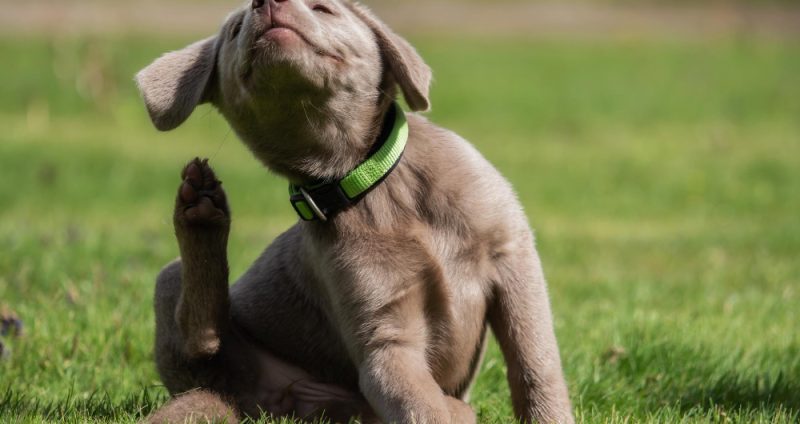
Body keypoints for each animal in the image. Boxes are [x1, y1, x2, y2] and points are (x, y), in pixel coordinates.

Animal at [136, 0, 573, 422]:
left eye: (323, 8)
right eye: (234, 29)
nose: (267, 2)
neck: (368, 178)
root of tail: (246, 401)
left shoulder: (514, 259)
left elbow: (535, 362)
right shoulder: (385, 334)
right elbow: (421, 404)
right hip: (171, 283)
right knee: (200, 338)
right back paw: (199, 210)